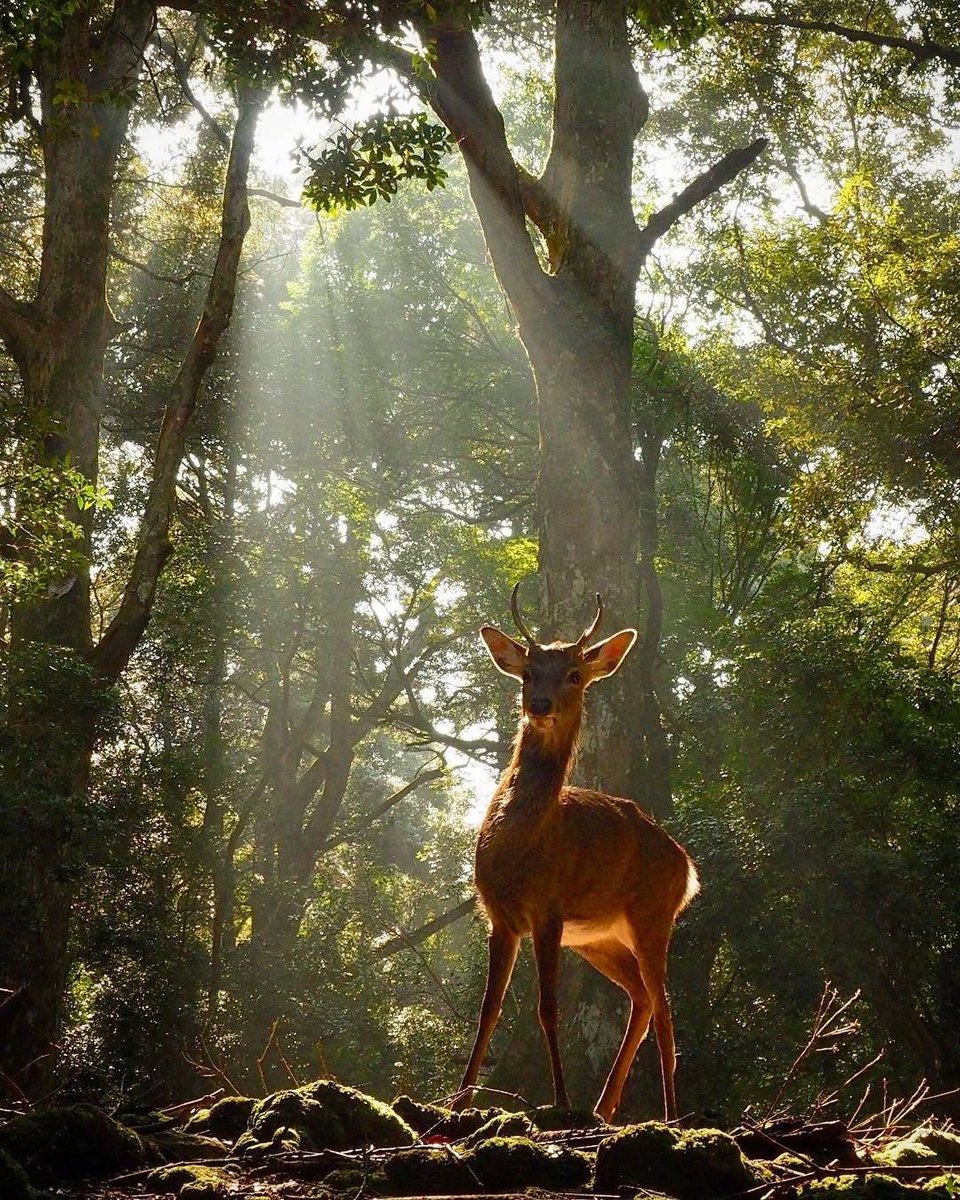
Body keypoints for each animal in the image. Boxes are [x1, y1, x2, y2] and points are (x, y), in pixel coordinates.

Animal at [452, 584, 699, 1122]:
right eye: (527, 672)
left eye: (574, 674)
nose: (540, 703)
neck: (519, 846)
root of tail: (688, 867)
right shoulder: (499, 915)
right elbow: (488, 1010)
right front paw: (458, 1102)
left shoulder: (548, 909)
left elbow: (548, 1008)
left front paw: (561, 1101)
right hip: (599, 937)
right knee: (642, 998)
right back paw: (604, 1109)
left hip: (653, 914)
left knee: (666, 1010)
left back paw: (670, 1113)